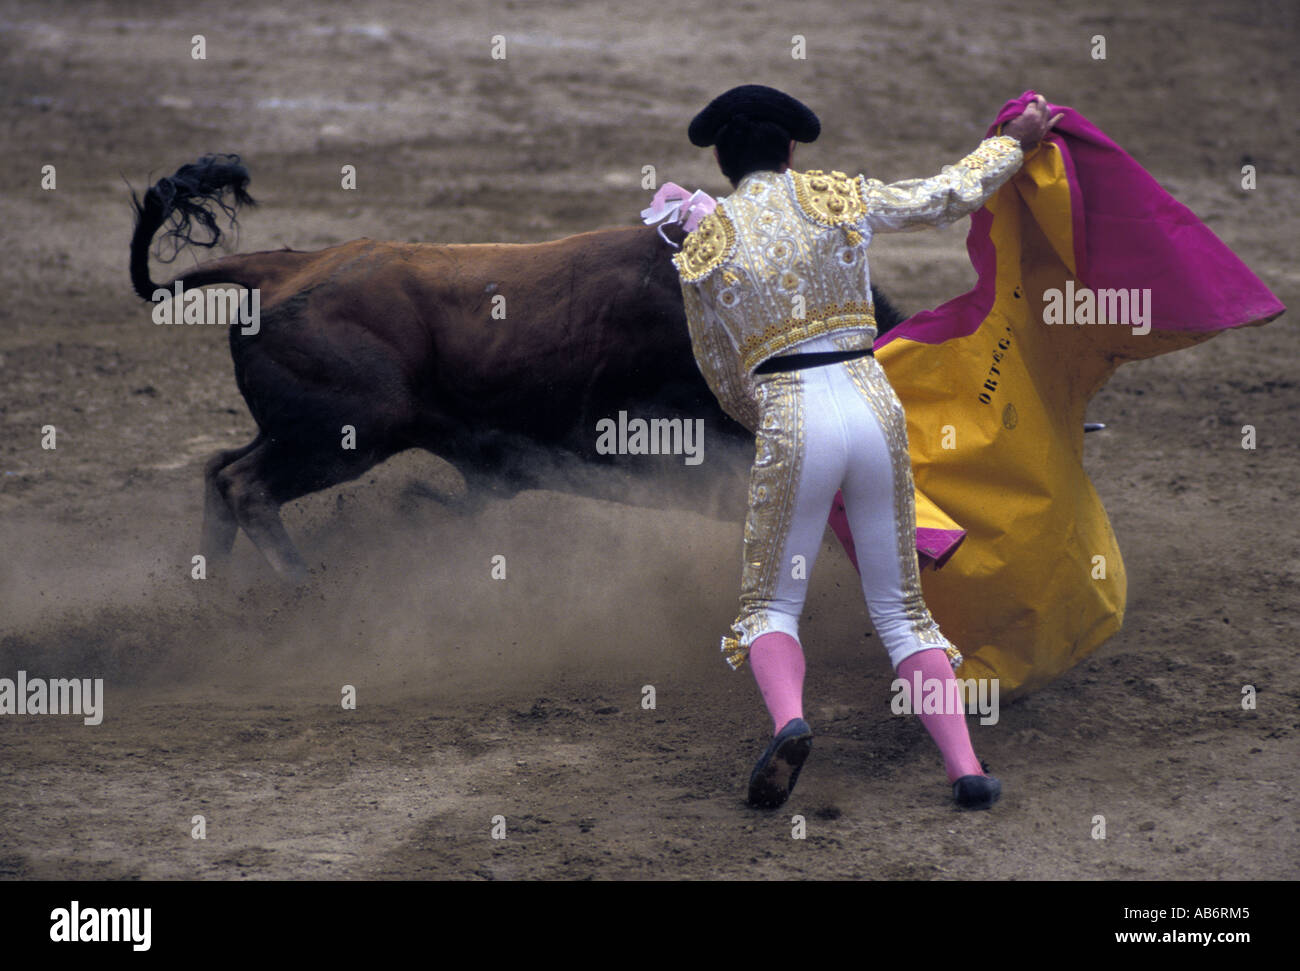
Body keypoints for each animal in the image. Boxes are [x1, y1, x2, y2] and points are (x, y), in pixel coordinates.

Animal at [134, 155, 904, 582]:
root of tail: (283, 266)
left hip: (301, 429)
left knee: (221, 469)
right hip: (351, 432)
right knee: (246, 485)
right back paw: (299, 591)